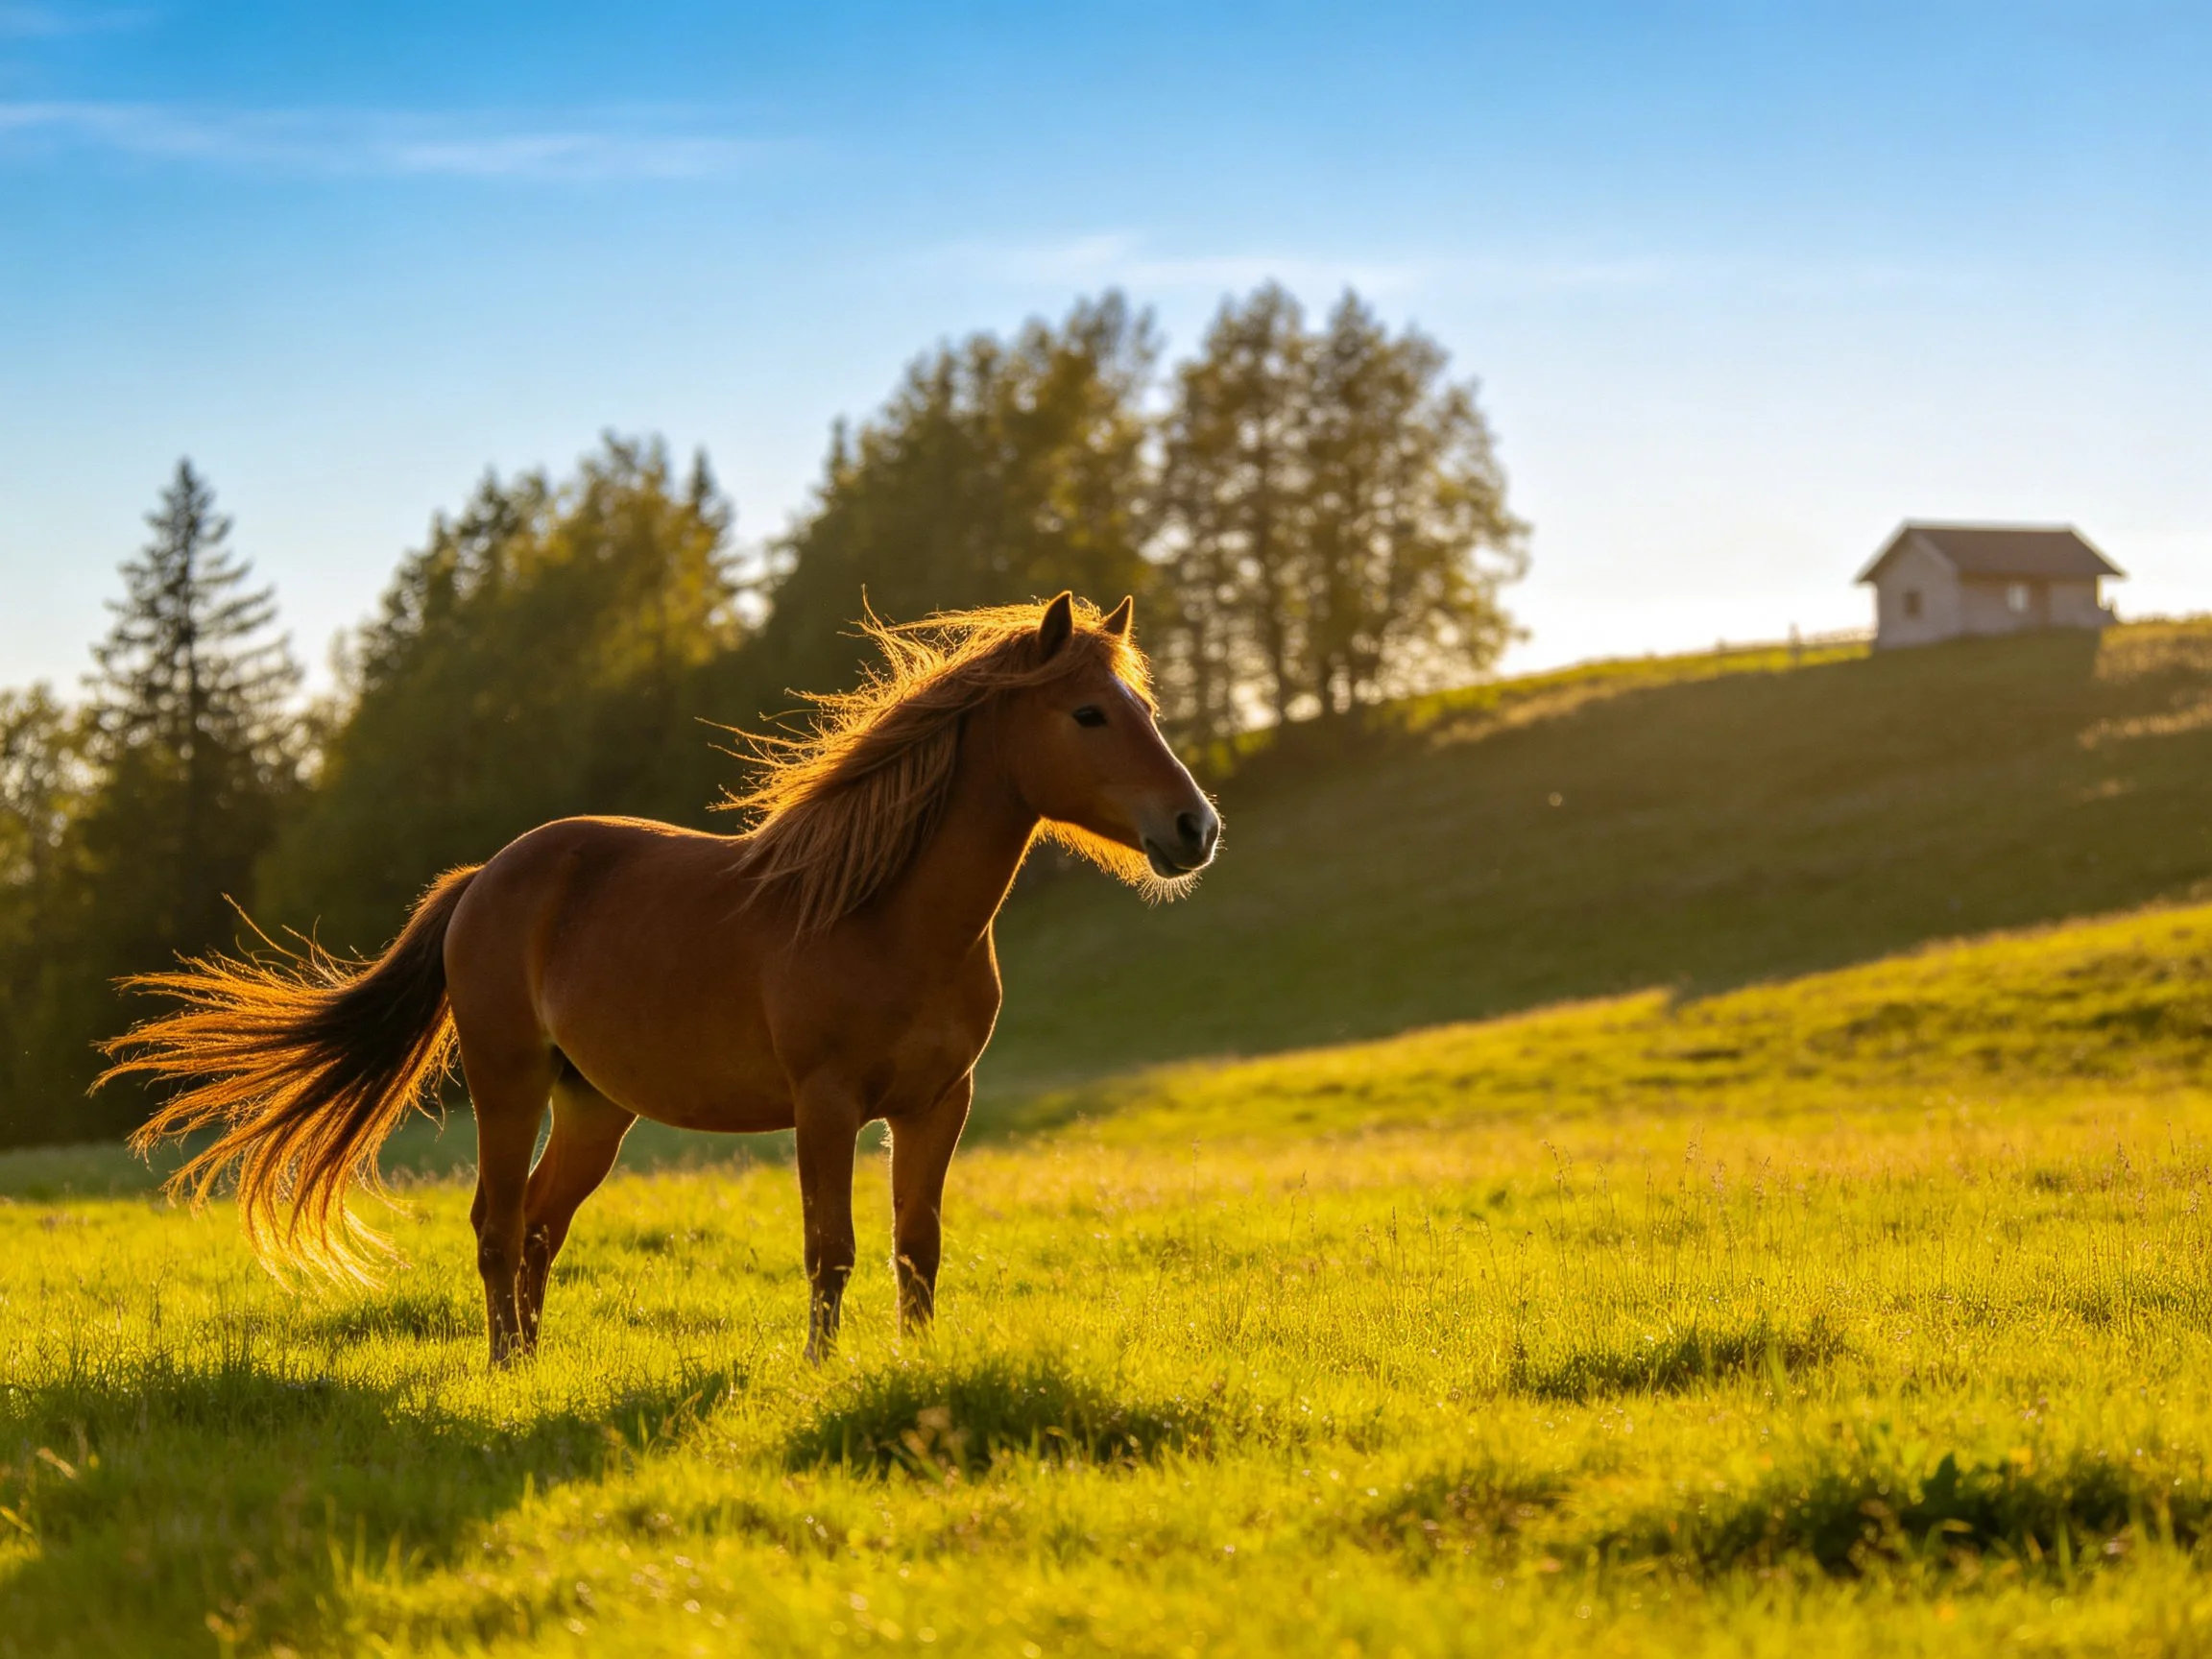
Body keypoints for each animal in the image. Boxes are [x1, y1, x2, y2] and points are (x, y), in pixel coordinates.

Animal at [103, 592, 1220, 1365]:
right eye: (1089, 714)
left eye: (1142, 707)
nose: (1194, 828)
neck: (884, 916)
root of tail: (484, 878)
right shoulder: (825, 1105)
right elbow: (833, 1248)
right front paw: (821, 1371)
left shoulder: (939, 1104)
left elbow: (919, 1248)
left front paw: (915, 1366)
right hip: (509, 1084)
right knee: (497, 1226)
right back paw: (503, 1369)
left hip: (594, 1107)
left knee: (541, 1227)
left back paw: (535, 1361)